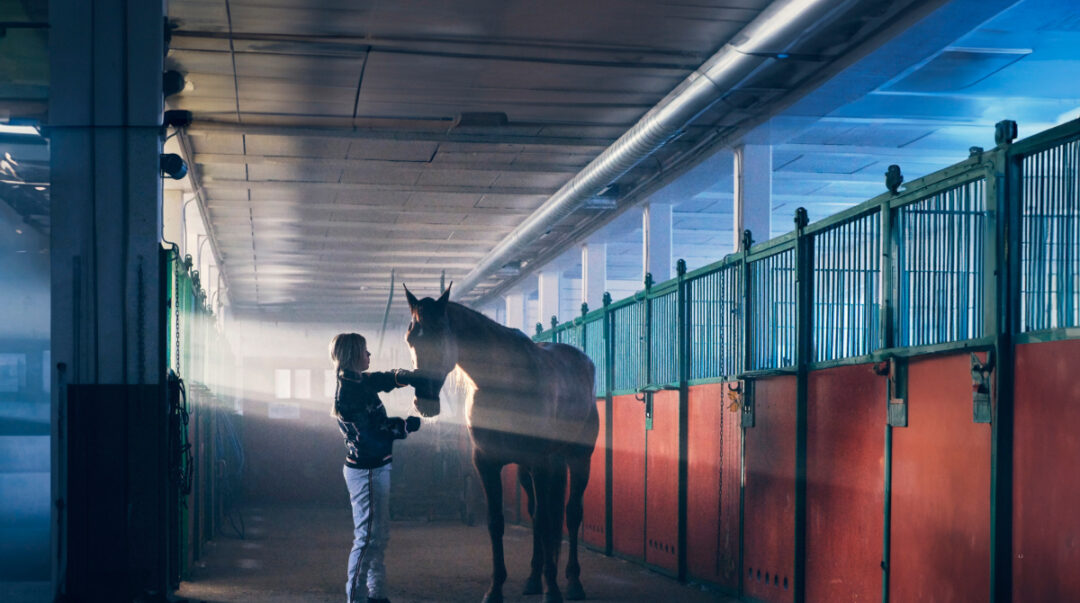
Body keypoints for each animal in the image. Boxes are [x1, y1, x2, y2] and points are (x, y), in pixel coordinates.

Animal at [403, 284, 599, 603]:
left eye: (439, 335)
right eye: (410, 339)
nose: (425, 400)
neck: (506, 381)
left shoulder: (541, 464)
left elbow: (546, 521)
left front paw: (553, 590)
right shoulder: (487, 463)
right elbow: (497, 523)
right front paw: (495, 589)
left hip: (578, 459)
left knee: (570, 514)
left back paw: (572, 583)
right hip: (528, 470)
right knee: (537, 512)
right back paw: (533, 580)